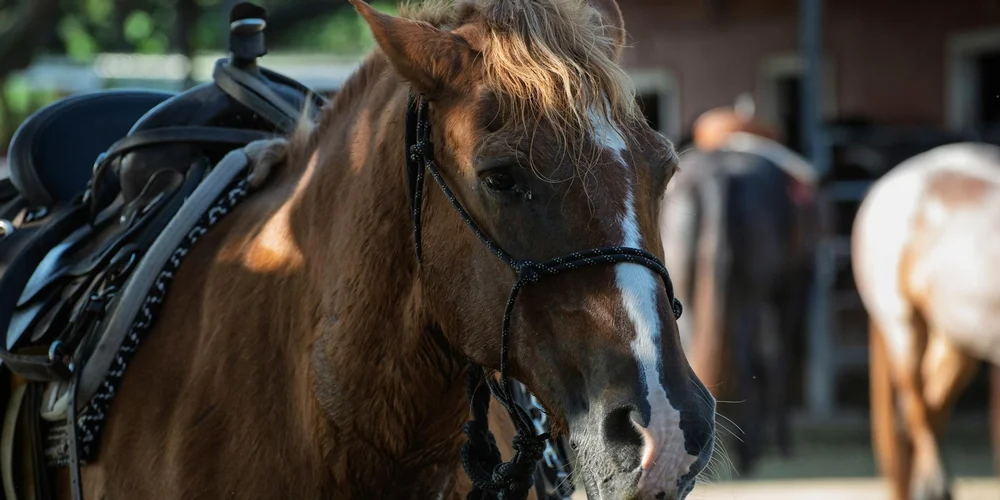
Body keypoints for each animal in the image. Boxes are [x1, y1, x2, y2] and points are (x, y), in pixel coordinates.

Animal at [660, 106, 819, 476]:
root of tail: (720, 176)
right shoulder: (794, 288)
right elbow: (776, 357)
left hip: (691, 289)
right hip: (753, 293)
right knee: (751, 357)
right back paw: (748, 451)